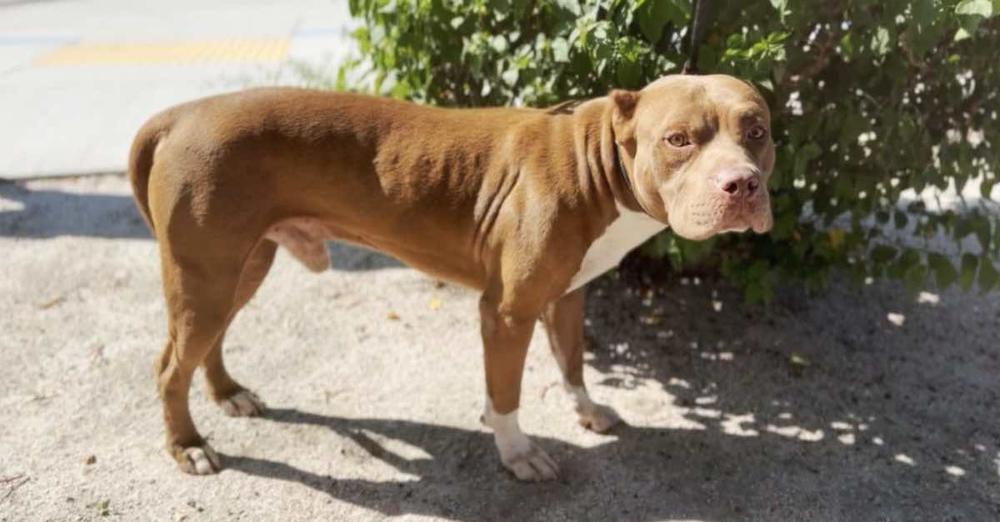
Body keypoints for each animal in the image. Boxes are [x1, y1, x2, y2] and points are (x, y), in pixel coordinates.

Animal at [129, 72, 776, 480]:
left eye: (757, 131)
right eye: (678, 140)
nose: (741, 184)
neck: (596, 162)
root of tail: (181, 114)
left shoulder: (567, 296)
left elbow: (571, 361)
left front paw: (586, 409)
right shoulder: (507, 312)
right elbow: (505, 392)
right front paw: (516, 452)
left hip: (240, 267)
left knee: (208, 343)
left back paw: (226, 393)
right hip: (207, 274)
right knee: (169, 366)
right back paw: (188, 445)